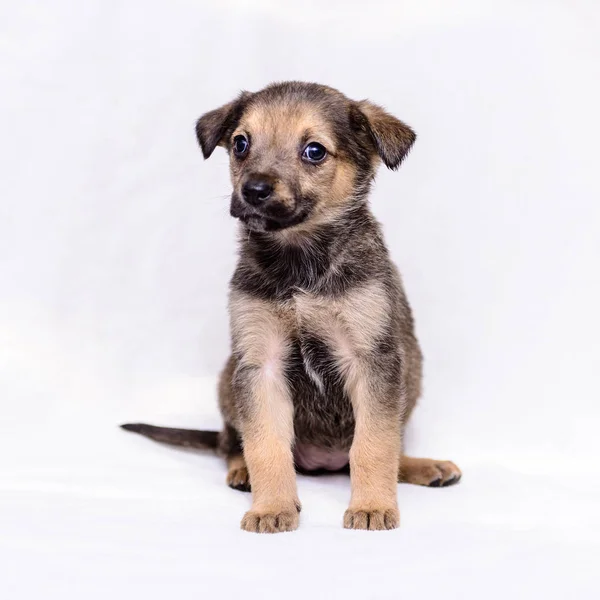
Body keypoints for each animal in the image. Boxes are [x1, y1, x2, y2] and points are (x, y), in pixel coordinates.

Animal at [120, 81, 460, 536]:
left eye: (314, 151)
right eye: (241, 143)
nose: (254, 190)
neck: (299, 266)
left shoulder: (372, 359)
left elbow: (374, 444)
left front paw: (372, 506)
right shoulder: (260, 364)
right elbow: (265, 445)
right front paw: (272, 508)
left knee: (385, 447)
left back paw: (423, 466)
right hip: (228, 378)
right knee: (231, 443)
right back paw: (241, 472)